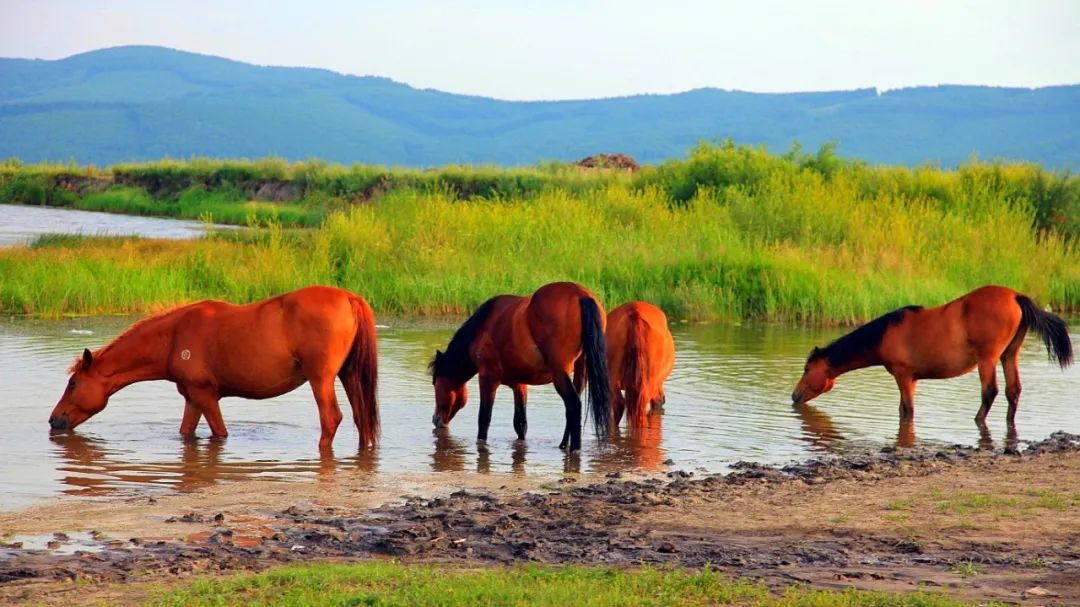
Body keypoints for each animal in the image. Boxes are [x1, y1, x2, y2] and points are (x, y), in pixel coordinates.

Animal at [48, 285, 382, 449]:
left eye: (73, 383)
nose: (54, 420)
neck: (174, 337)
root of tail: (349, 298)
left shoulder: (206, 396)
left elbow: (220, 434)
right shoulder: (192, 399)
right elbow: (186, 433)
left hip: (320, 379)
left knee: (331, 419)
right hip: (349, 375)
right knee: (361, 417)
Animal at [432, 280, 617, 449]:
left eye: (435, 383)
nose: (435, 420)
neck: (482, 327)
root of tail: (581, 295)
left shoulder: (488, 378)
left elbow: (484, 419)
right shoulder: (519, 384)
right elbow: (520, 423)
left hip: (560, 373)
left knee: (573, 405)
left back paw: (575, 449)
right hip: (581, 370)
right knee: (571, 409)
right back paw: (564, 444)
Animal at [790, 282, 1075, 425]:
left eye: (807, 369)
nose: (794, 396)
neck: (885, 333)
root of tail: (1015, 296)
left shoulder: (903, 375)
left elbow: (907, 410)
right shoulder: (913, 379)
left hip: (987, 358)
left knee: (990, 391)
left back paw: (977, 419)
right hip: (1009, 355)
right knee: (1012, 390)